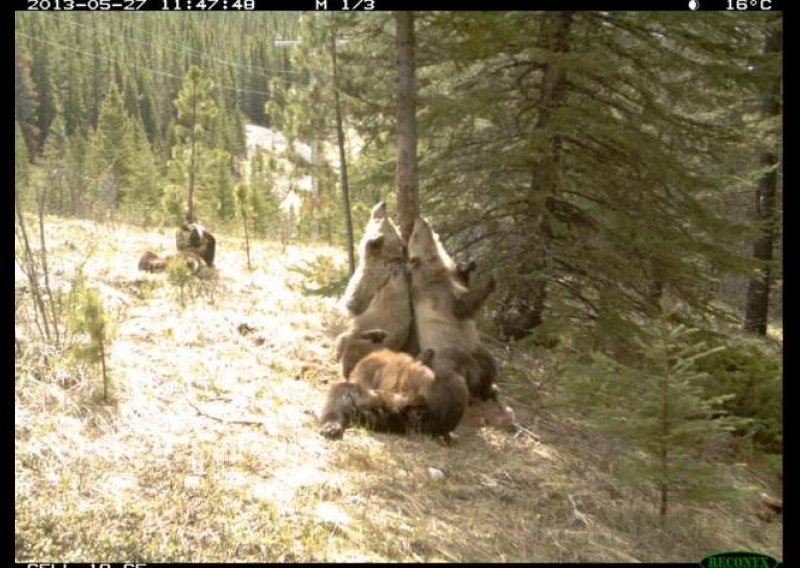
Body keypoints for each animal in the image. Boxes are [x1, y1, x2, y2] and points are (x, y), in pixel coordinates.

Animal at [336, 203, 412, 378]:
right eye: (388, 218)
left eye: (381, 219)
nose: (382, 204)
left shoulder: (369, 279)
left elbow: (354, 300)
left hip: (365, 342)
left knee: (349, 344)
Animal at [410, 215, 496, 402]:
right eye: (414, 236)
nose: (419, 219)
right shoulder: (440, 295)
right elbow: (464, 305)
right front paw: (489, 282)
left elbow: (463, 279)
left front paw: (468, 265)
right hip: (448, 353)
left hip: (475, 349)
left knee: (489, 364)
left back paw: (488, 389)